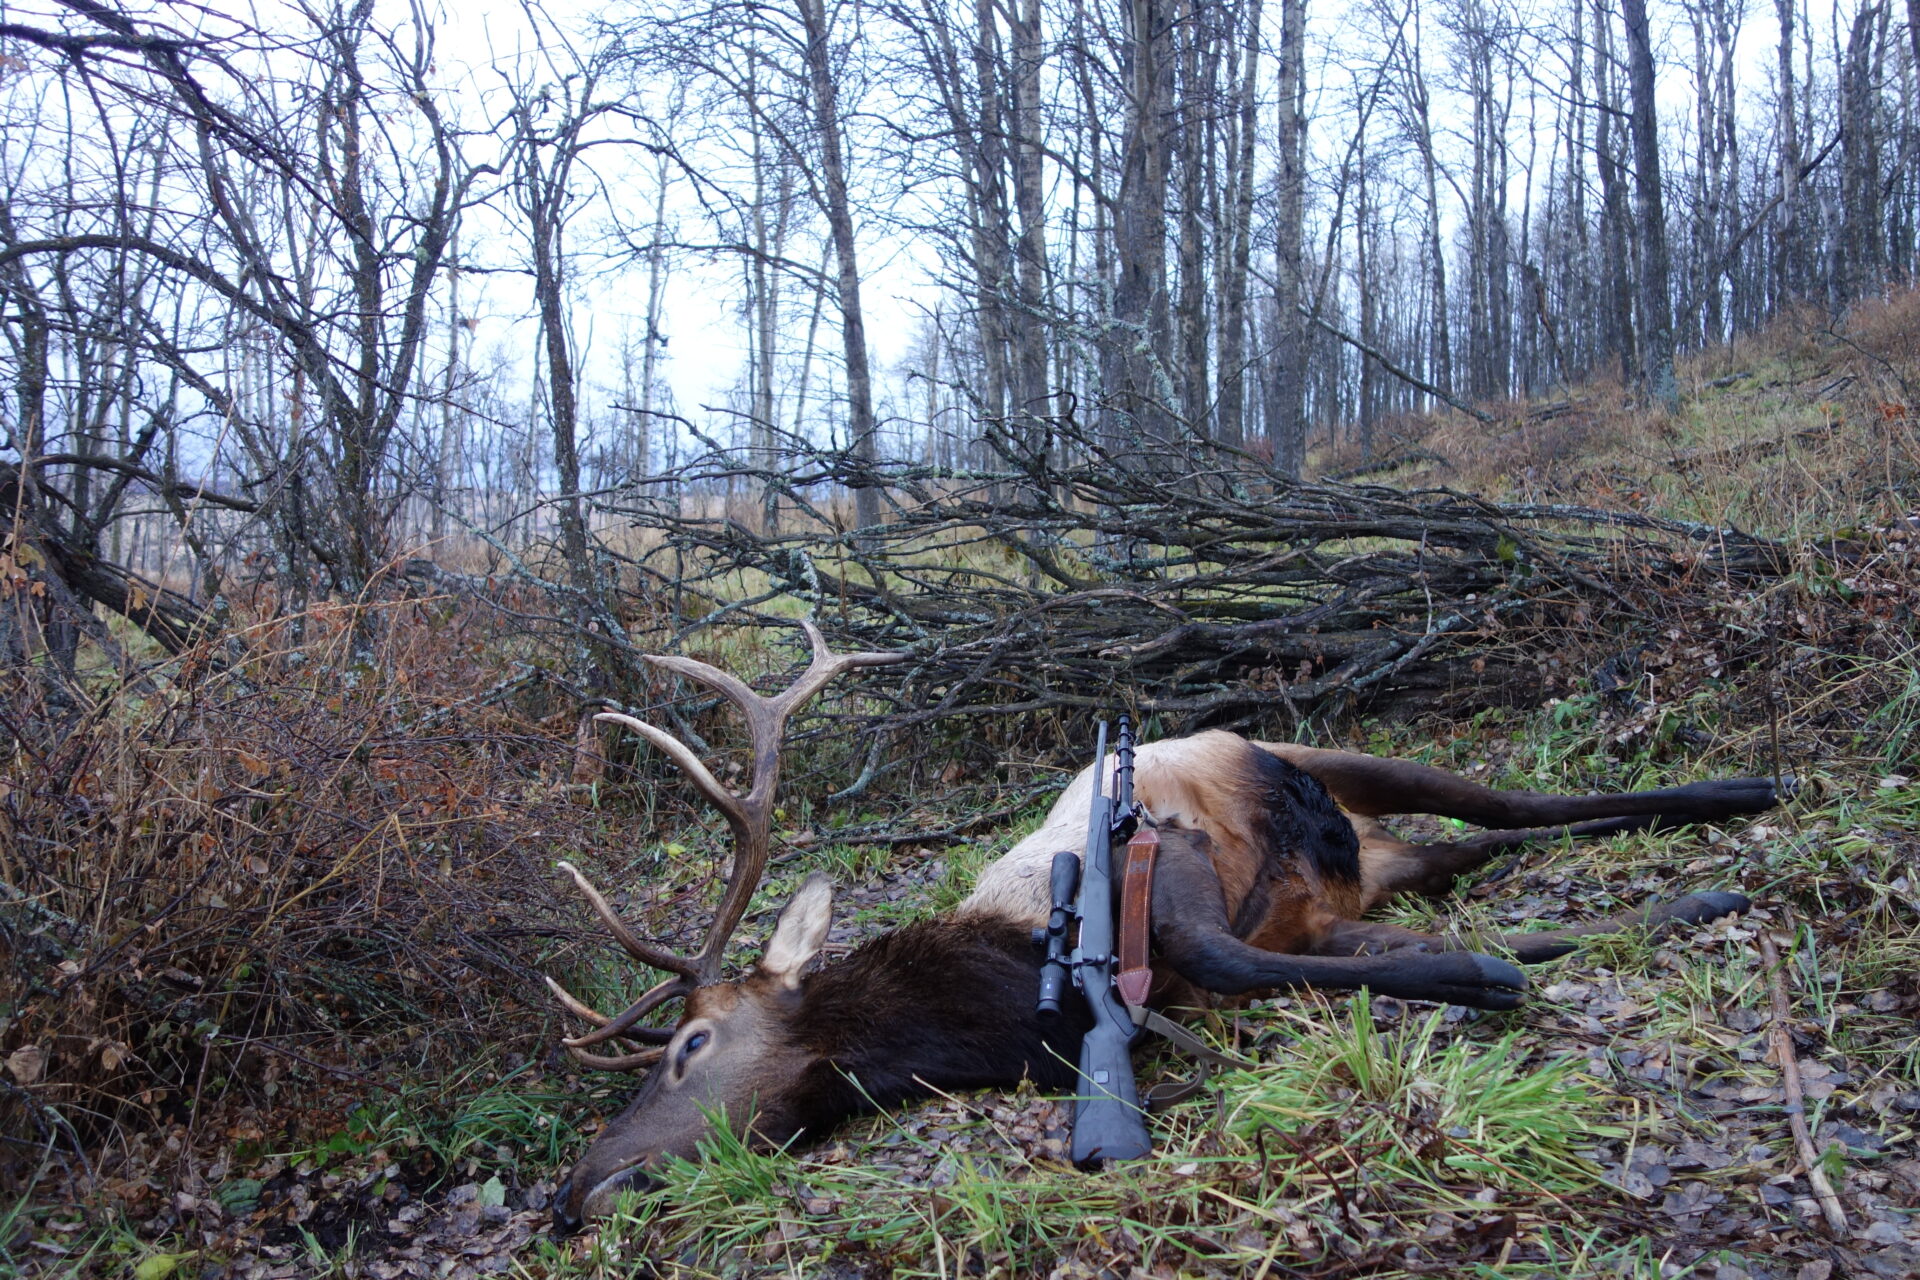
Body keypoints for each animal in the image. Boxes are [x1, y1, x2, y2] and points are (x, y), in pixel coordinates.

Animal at [541, 629, 1766, 1228]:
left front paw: (1497, 973)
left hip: (1321, 753)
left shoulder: (1167, 872)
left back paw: (1740, 794)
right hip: (1376, 866)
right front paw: (1507, 961)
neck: (1002, 996)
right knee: (1481, 848)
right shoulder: (1282, 949)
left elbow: (1239, 950)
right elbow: (1384, 958)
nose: (571, 1191)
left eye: (691, 1043)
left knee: (1513, 802)